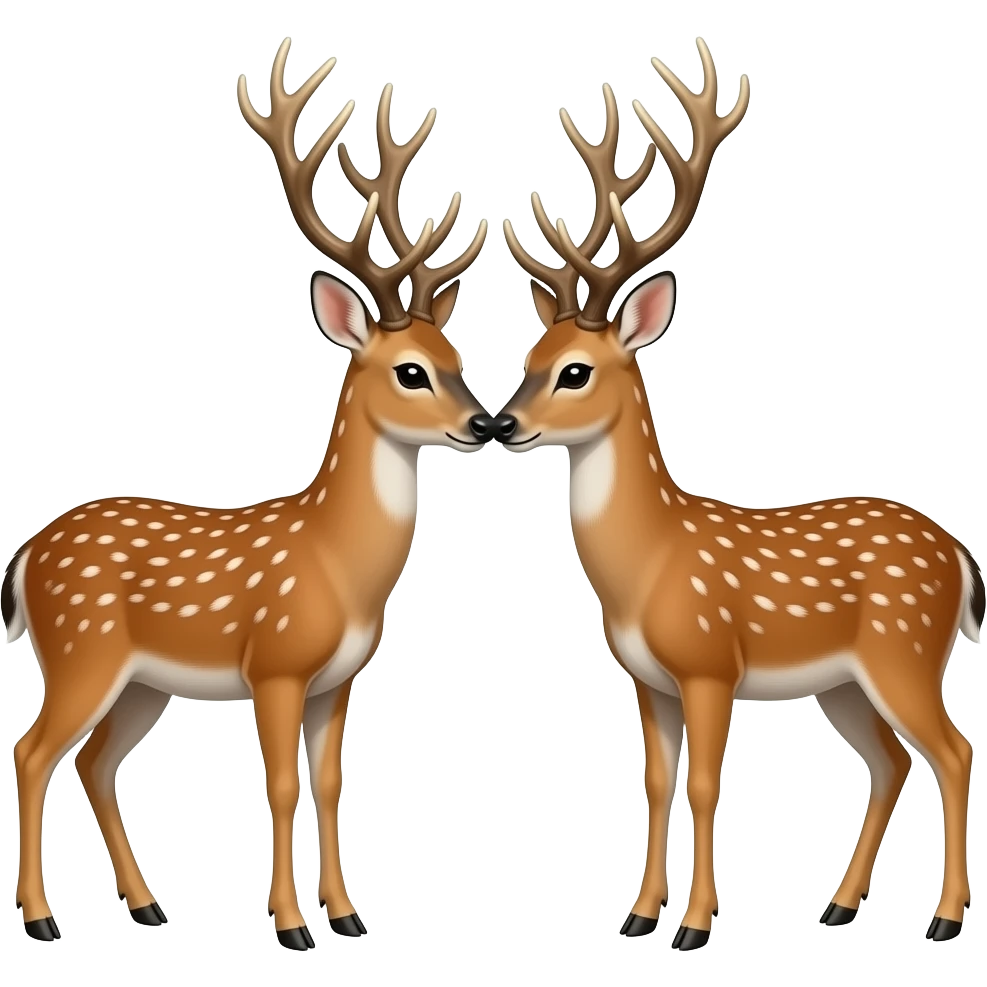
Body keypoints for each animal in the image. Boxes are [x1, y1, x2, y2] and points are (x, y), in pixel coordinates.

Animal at [3, 37, 494, 949]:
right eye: (410, 371)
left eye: (456, 357)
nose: (484, 422)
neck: (338, 565)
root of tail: (24, 557)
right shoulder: (276, 661)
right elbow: (280, 783)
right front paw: (293, 924)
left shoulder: (338, 678)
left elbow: (329, 782)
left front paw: (348, 916)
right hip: (82, 649)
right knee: (32, 749)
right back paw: (44, 917)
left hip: (143, 681)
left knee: (91, 758)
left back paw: (148, 904)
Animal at [494, 36, 982, 949]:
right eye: (528, 358)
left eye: (575, 371)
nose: (501, 423)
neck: (647, 565)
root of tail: (961, 558)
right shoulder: (645, 677)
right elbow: (656, 780)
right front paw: (638, 914)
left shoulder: (708, 661)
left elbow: (705, 782)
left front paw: (692, 924)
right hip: (842, 681)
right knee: (892, 758)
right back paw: (837, 904)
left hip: (902, 649)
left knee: (952, 748)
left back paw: (941, 918)